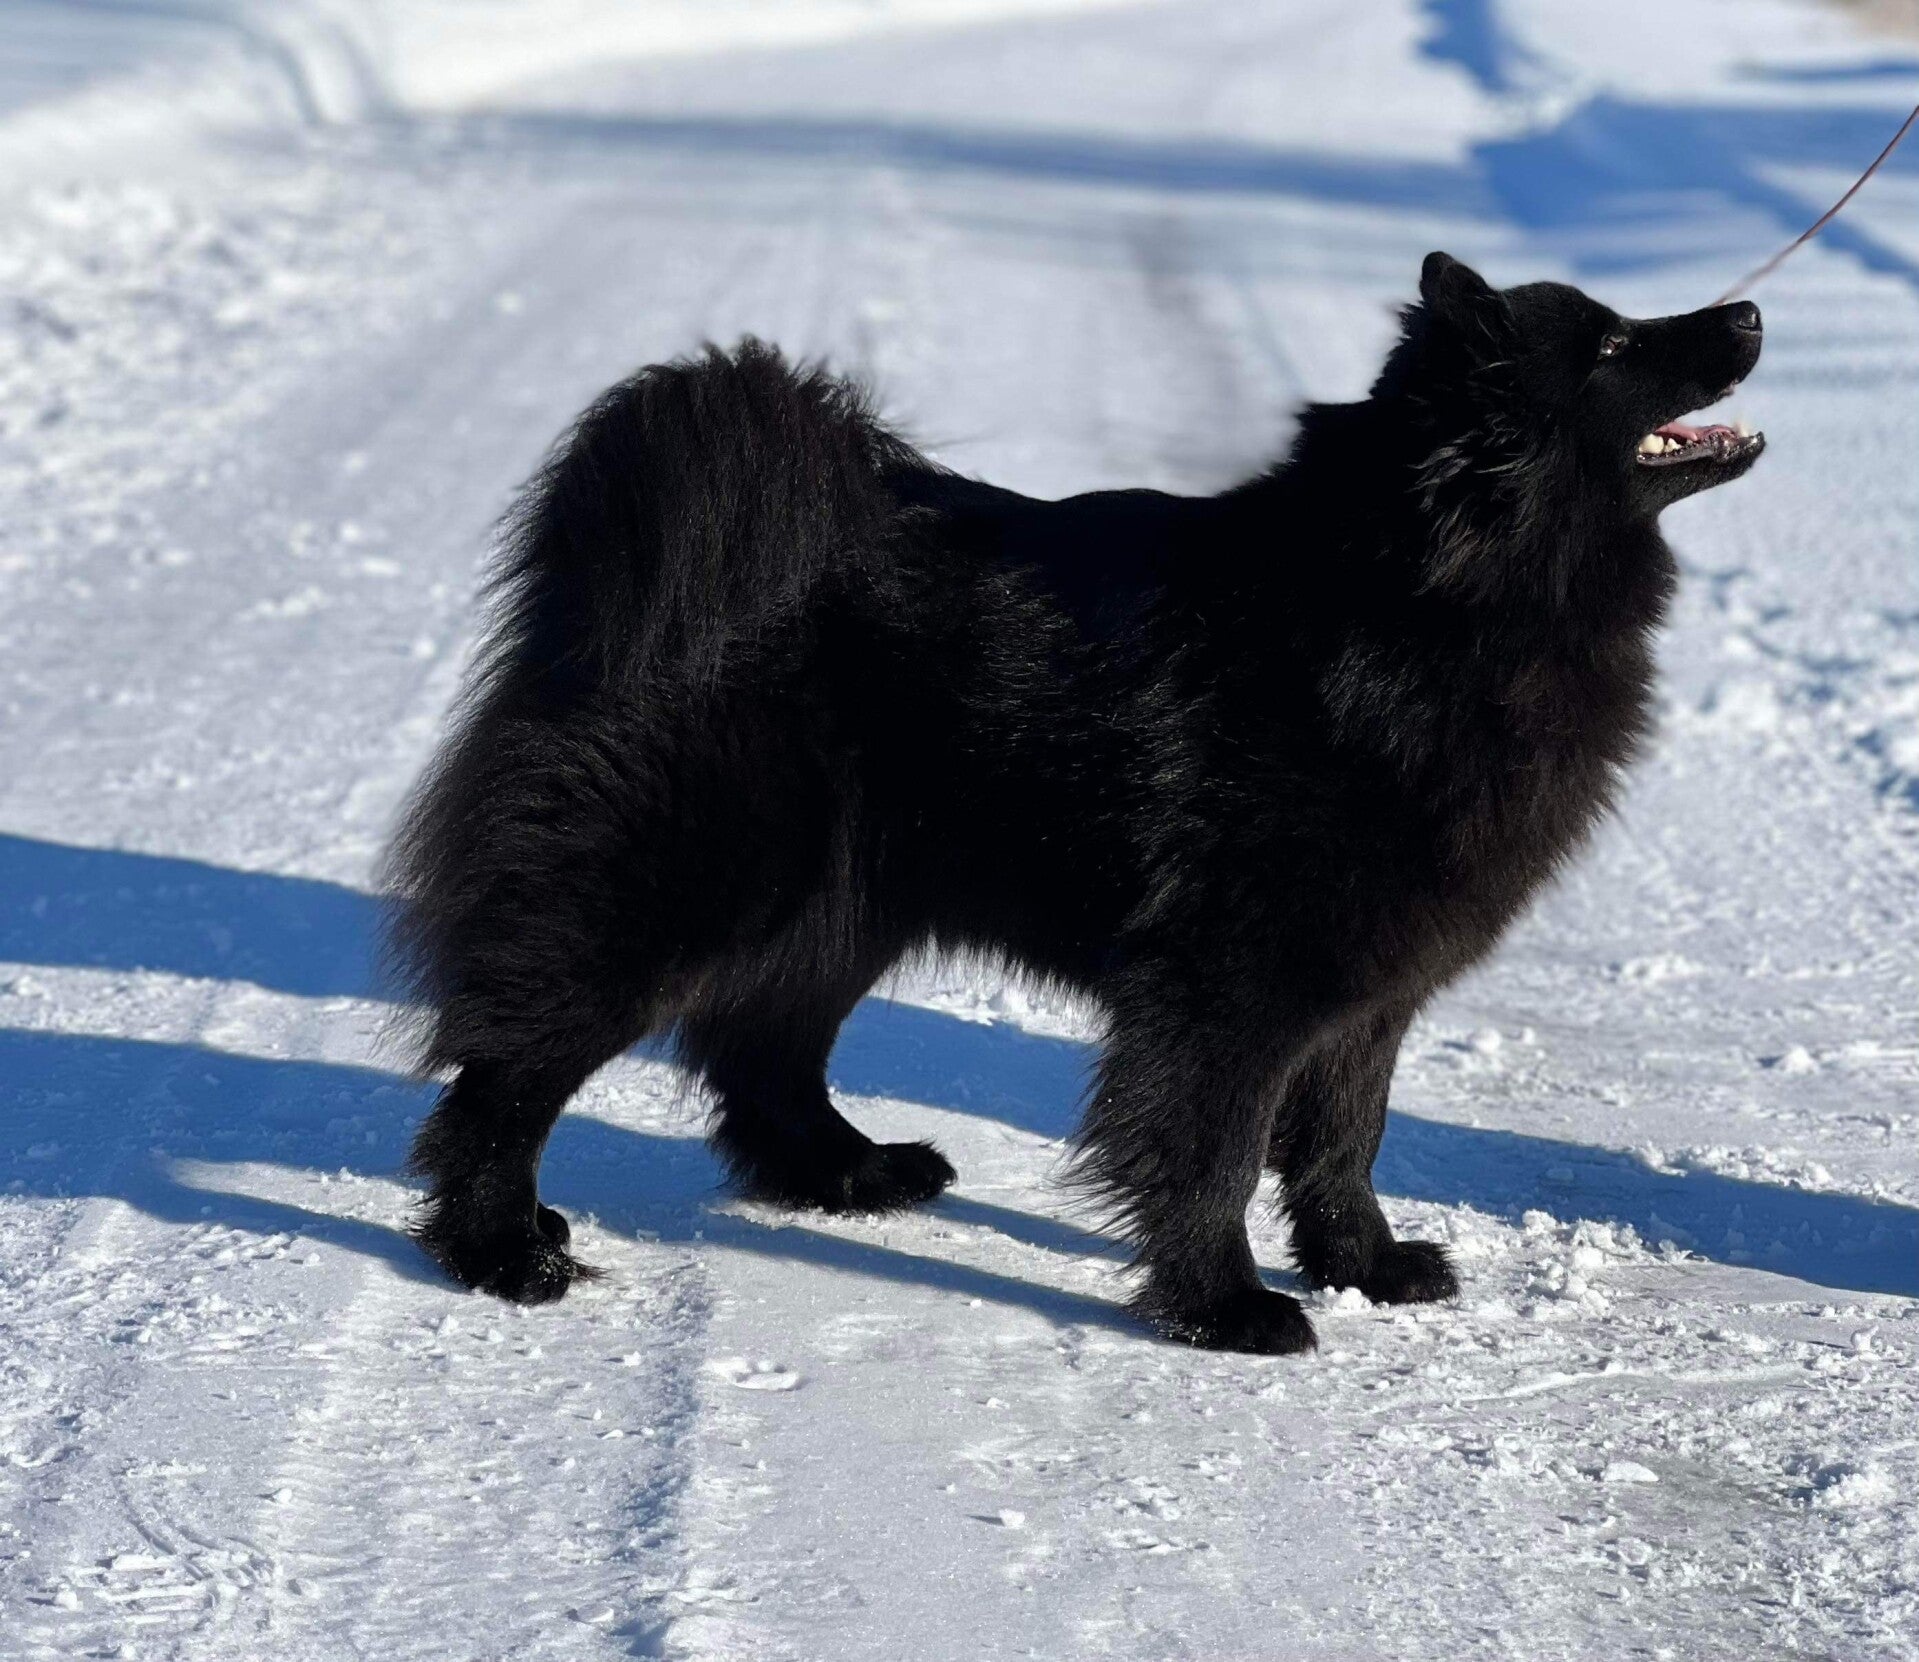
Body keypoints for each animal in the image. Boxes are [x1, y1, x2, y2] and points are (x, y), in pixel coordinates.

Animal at [383, 253, 1764, 1354]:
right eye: (1611, 347)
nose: (1751, 308)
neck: (1425, 599)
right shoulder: (1226, 983)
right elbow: (1208, 1152)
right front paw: (1224, 1308)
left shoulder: (1369, 986)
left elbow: (1341, 1138)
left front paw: (1366, 1268)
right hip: (676, 891)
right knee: (507, 1078)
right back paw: (501, 1250)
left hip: (841, 906)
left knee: (762, 1052)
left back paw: (850, 1172)